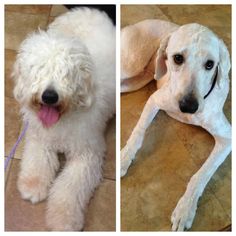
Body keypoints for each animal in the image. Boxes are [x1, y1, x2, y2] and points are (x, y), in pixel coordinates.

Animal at [12, 8, 115, 231]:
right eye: (39, 68)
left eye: (66, 72)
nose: (50, 96)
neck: (62, 119)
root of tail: (87, 10)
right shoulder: (39, 138)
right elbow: (37, 161)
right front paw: (33, 186)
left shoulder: (86, 155)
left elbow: (69, 190)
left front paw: (63, 220)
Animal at [121, 19, 231, 230]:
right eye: (178, 58)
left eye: (210, 64)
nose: (189, 106)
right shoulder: (155, 100)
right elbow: (138, 132)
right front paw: (124, 157)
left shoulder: (227, 138)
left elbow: (201, 175)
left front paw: (185, 209)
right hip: (130, 64)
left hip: (136, 81)